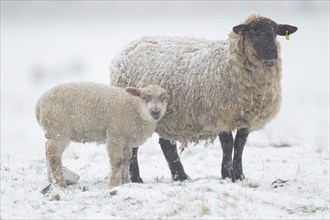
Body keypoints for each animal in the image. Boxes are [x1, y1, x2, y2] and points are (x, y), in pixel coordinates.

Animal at [36, 82, 168, 187]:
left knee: (47, 150)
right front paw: (114, 184)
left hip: (52, 131)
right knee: (53, 155)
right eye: (144, 97)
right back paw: (61, 184)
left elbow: (126, 160)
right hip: (59, 130)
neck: (135, 109)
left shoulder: (126, 140)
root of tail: (39, 104)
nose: (155, 112)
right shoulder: (115, 134)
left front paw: (125, 182)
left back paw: (51, 181)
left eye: (163, 98)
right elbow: (117, 161)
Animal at [109, 12, 298, 183]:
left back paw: (180, 176)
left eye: (275, 33)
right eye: (253, 32)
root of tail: (127, 48)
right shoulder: (220, 114)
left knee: (166, 145)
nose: (272, 56)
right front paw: (227, 174)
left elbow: (240, 144)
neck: (228, 63)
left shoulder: (245, 117)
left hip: (172, 118)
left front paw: (239, 175)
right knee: (135, 146)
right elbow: (227, 143)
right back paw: (137, 179)